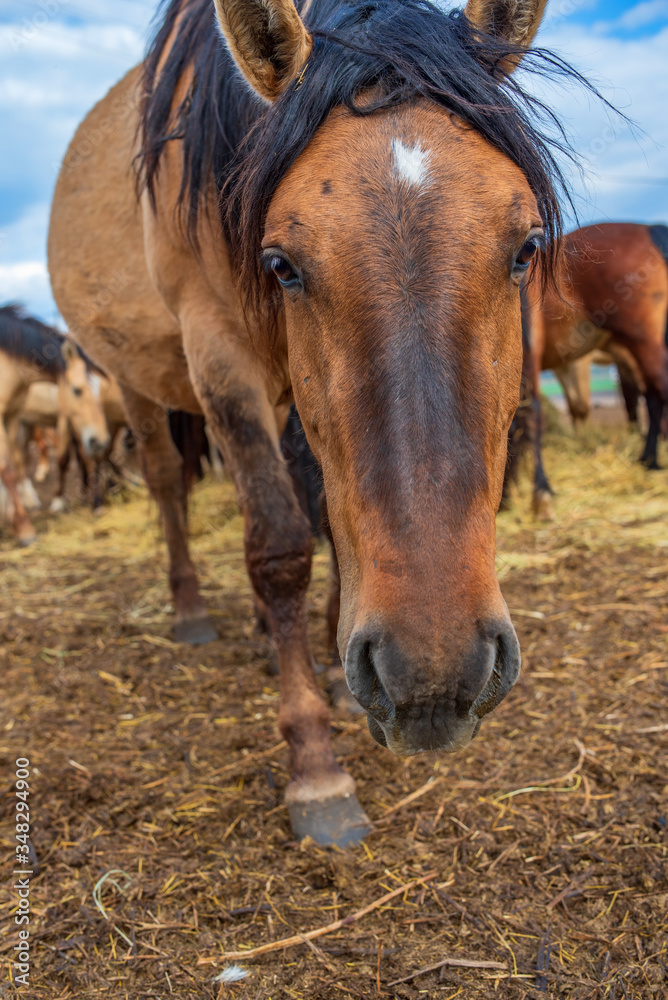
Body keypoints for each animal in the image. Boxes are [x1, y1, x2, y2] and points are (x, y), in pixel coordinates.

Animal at [0, 305, 111, 543]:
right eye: (77, 390)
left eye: (100, 389)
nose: (101, 440)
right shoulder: (62, 420)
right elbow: (12, 468)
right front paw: (25, 528)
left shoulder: (11, 417)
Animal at [48, 0, 588, 846]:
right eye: (282, 265)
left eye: (527, 247)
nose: (434, 676)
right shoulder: (220, 356)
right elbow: (280, 547)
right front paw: (314, 764)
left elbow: (332, 520)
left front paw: (334, 665)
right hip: (132, 381)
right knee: (168, 483)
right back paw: (192, 610)